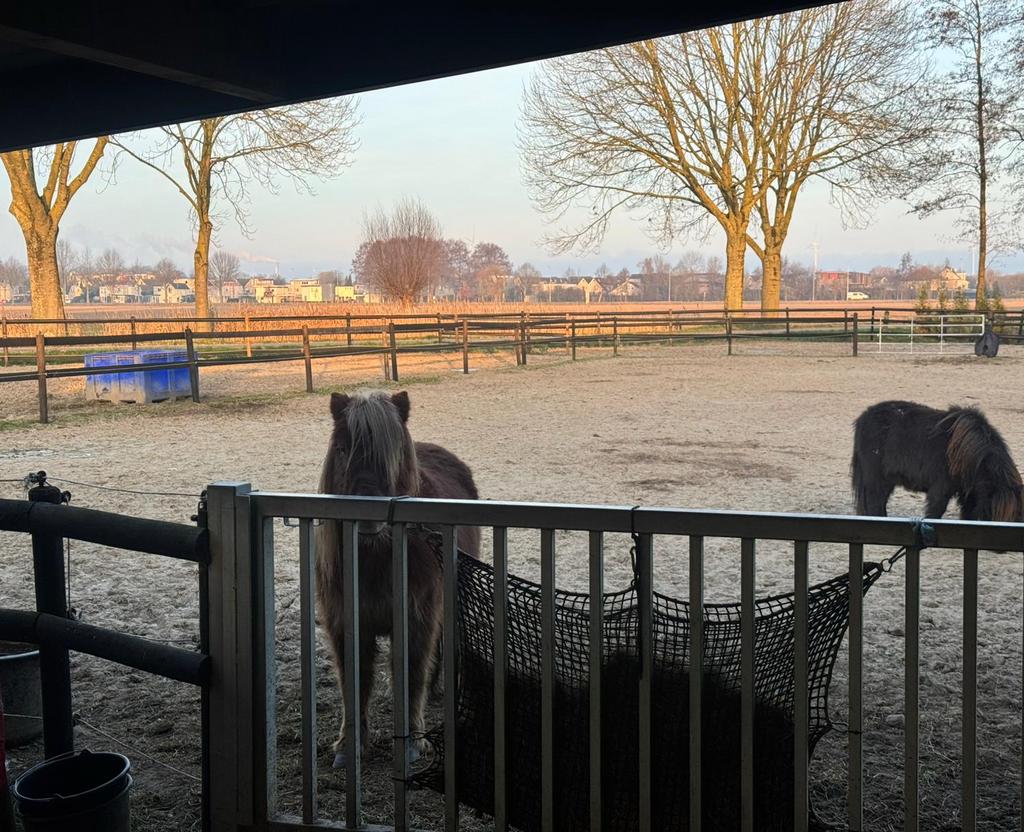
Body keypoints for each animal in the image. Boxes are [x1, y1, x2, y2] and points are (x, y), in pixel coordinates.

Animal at [316, 390, 481, 766]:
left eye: (393, 454)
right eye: (342, 448)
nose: (366, 517)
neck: (375, 558)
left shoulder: (416, 618)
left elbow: (412, 674)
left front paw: (413, 743)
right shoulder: (346, 623)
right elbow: (354, 681)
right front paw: (349, 745)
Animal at [851, 400, 1024, 521]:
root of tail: (862, 418)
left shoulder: (968, 491)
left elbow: (968, 512)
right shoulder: (942, 487)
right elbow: (936, 509)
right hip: (876, 478)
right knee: (874, 501)